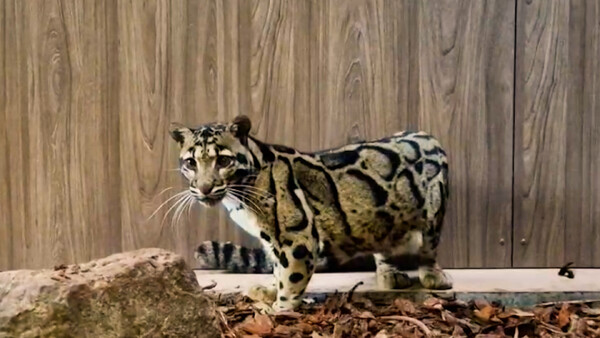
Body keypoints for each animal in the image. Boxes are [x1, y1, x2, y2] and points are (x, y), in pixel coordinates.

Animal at [169, 116, 450, 312]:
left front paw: (279, 309)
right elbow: (277, 268)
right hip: (382, 220)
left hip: (435, 207)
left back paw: (433, 275)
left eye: (224, 161)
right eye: (191, 163)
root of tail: (428, 136)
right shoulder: (272, 239)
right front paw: (270, 290)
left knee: (429, 248)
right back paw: (388, 273)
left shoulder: (297, 237)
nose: (204, 188)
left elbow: (291, 275)